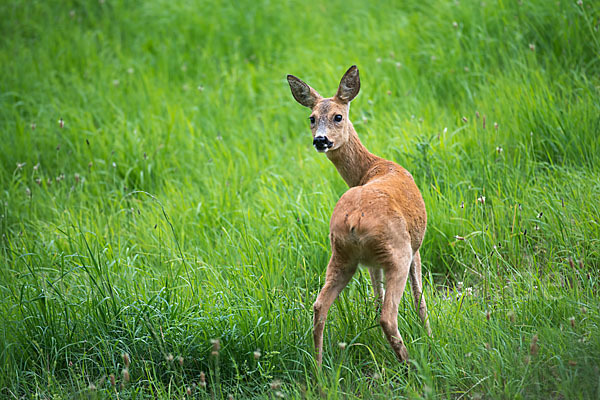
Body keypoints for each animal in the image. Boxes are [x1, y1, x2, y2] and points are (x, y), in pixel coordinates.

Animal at [288, 66, 432, 366]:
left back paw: (318, 369)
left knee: (319, 306)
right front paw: (429, 335)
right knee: (388, 316)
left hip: (342, 254)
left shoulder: (372, 263)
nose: (320, 140)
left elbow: (376, 295)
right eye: (312, 118)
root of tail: (353, 220)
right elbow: (420, 299)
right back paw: (410, 365)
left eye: (337, 116)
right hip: (397, 252)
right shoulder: (417, 246)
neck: (372, 167)